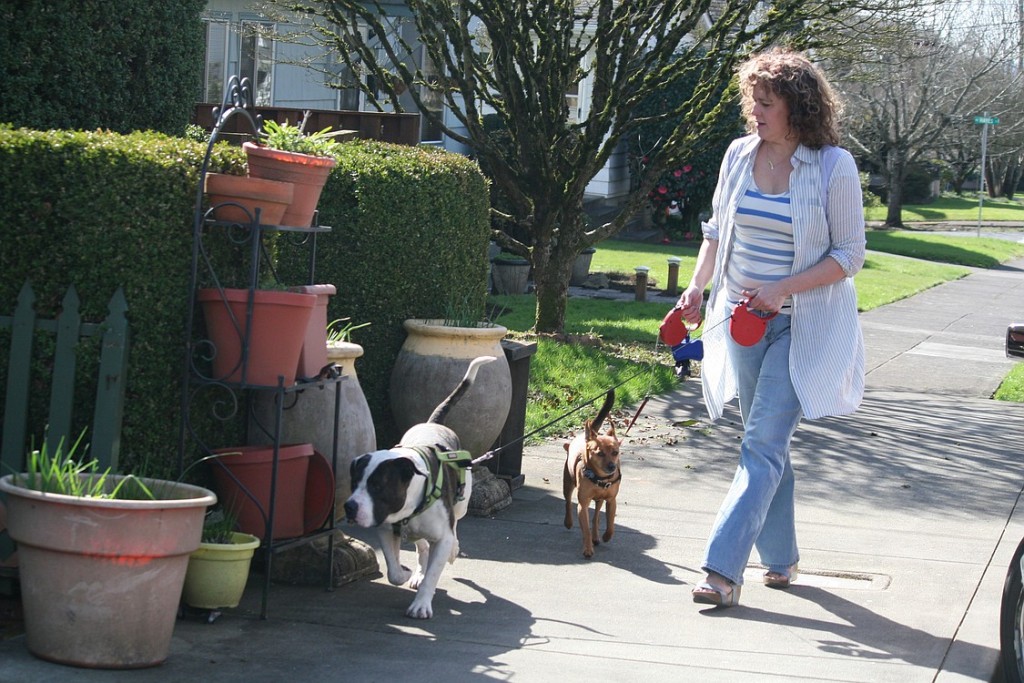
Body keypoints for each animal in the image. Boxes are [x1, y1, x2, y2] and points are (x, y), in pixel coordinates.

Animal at [342, 358, 493, 618]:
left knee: (455, 524)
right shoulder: (385, 528)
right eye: (354, 482)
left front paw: (421, 604)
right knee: (422, 545)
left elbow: (434, 571)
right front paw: (404, 574)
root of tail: (432, 424)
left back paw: (452, 549)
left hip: (462, 502)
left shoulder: (441, 536)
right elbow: (393, 570)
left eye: (377, 486)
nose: (349, 507)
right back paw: (417, 571)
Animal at [565, 389, 618, 561]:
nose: (612, 466)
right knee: (568, 501)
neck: (600, 477)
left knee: (596, 518)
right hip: (568, 483)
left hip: (600, 500)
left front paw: (606, 536)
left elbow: (610, 523)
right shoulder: (583, 505)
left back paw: (596, 536)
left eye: (616, 452)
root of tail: (586, 435)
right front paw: (587, 549)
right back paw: (568, 522)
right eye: (600, 453)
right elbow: (586, 529)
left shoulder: (611, 501)